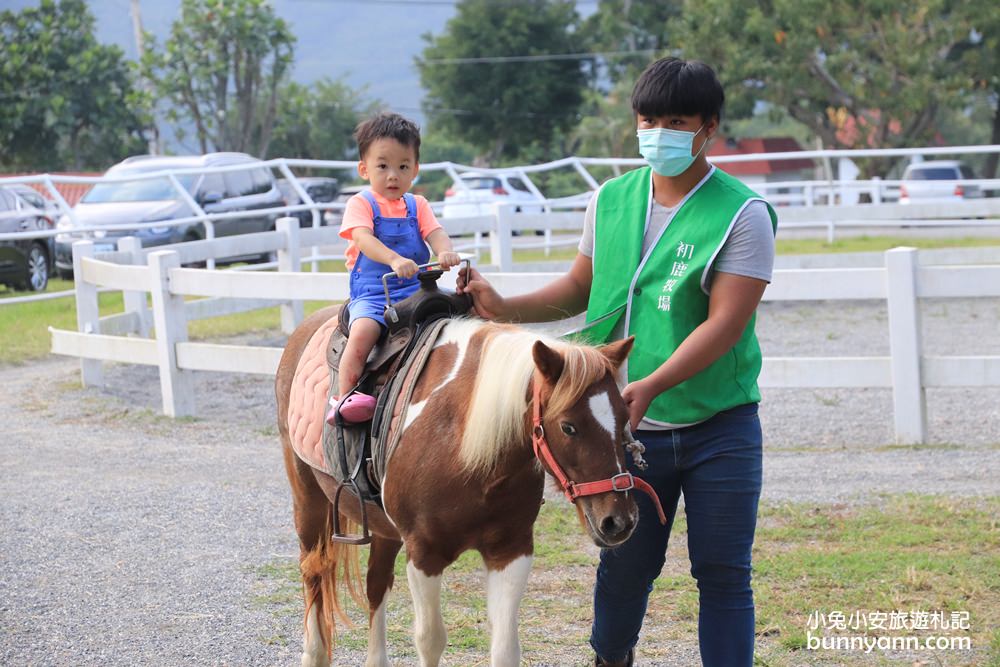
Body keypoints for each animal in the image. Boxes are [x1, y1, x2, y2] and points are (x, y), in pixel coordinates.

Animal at [278, 310, 660, 667]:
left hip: (385, 530)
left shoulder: (511, 551)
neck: (463, 445)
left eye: (624, 418)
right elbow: (430, 640)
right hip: (309, 505)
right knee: (314, 572)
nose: (619, 521)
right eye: (568, 427)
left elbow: (506, 648)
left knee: (376, 586)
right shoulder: (424, 556)